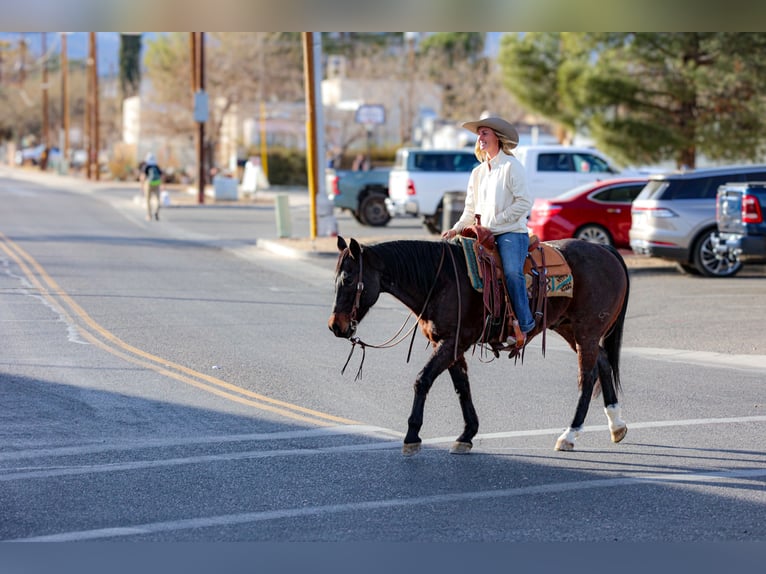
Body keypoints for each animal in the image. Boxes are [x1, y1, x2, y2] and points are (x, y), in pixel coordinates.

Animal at [328, 236, 632, 456]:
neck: (442, 280)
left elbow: (422, 380)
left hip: (586, 332)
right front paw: (467, 434)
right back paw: (616, 425)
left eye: (349, 279)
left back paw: (569, 434)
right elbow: (462, 386)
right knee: (603, 362)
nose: (335, 326)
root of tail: (606, 250)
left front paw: (412, 436)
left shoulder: (452, 342)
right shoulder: (449, 344)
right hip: (572, 330)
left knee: (587, 377)